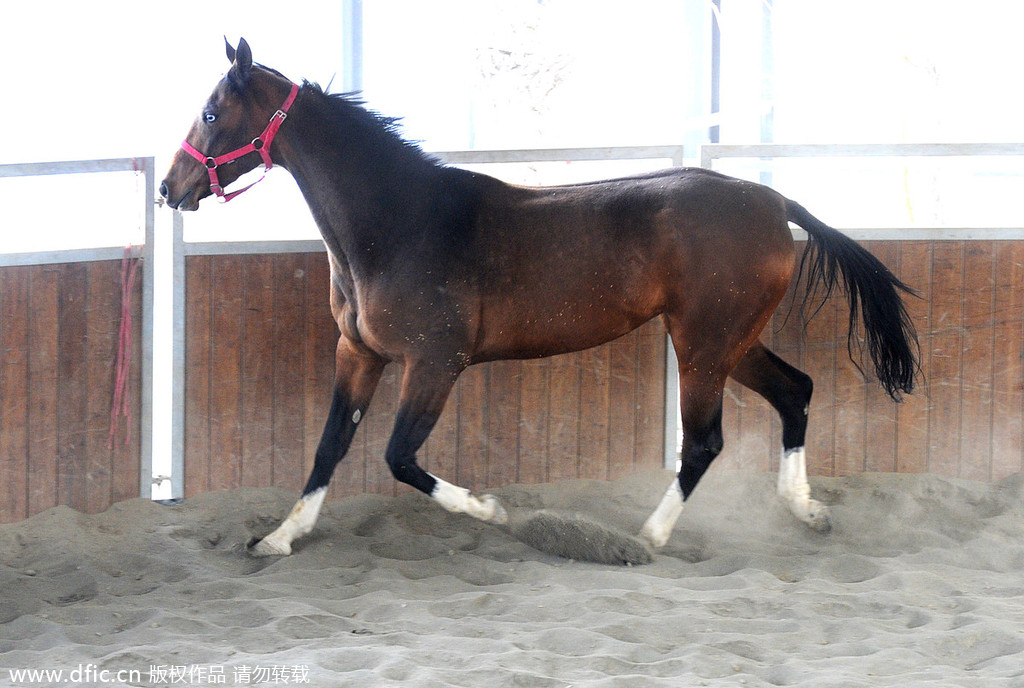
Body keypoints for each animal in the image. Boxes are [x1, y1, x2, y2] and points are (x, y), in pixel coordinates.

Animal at [160, 38, 918, 557]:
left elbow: (399, 457)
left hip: (703, 343)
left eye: (211, 111)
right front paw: (279, 538)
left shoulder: (434, 363)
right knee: (796, 391)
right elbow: (328, 448)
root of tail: (772, 201)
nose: (170, 187)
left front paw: (492, 512)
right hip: (732, 340)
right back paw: (806, 512)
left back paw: (644, 538)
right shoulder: (360, 353)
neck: (399, 222)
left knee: (705, 441)